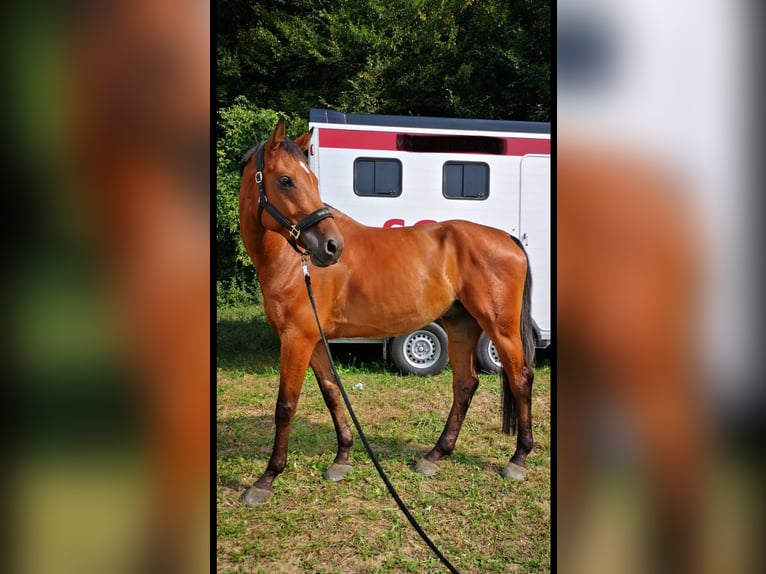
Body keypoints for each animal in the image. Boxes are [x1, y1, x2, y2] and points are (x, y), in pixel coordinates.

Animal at [238, 119, 536, 506]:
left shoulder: (296, 338)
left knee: (520, 379)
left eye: (310, 180)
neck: (293, 262)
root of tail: (508, 239)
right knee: (465, 383)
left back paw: (518, 459)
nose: (331, 247)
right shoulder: (313, 339)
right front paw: (342, 458)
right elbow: (332, 393)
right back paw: (435, 455)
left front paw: (267, 479)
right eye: (286, 180)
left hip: (501, 328)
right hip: (460, 325)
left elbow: (286, 405)